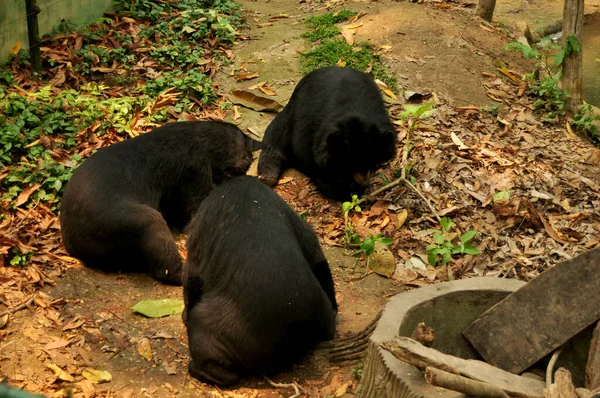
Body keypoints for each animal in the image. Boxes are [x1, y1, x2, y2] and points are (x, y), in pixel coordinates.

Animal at [59, 121, 256, 286]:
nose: (245, 173)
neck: (208, 139)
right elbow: (196, 209)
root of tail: (73, 246)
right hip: (132, 220)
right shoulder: (194, 173)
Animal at [184, 176, 338, 386]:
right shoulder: (302, 228)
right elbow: (316, 253)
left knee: (224, 372)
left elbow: (192, 276)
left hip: (208, 327)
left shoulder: (201, 228)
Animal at [255, 66, 396, 201]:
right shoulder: (309, 133)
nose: (364, 182)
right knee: (277, 133)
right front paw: (344, 189)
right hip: (292, 110)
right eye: (349, 164)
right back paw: (268, 177)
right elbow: (315, 165)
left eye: (371, 159)